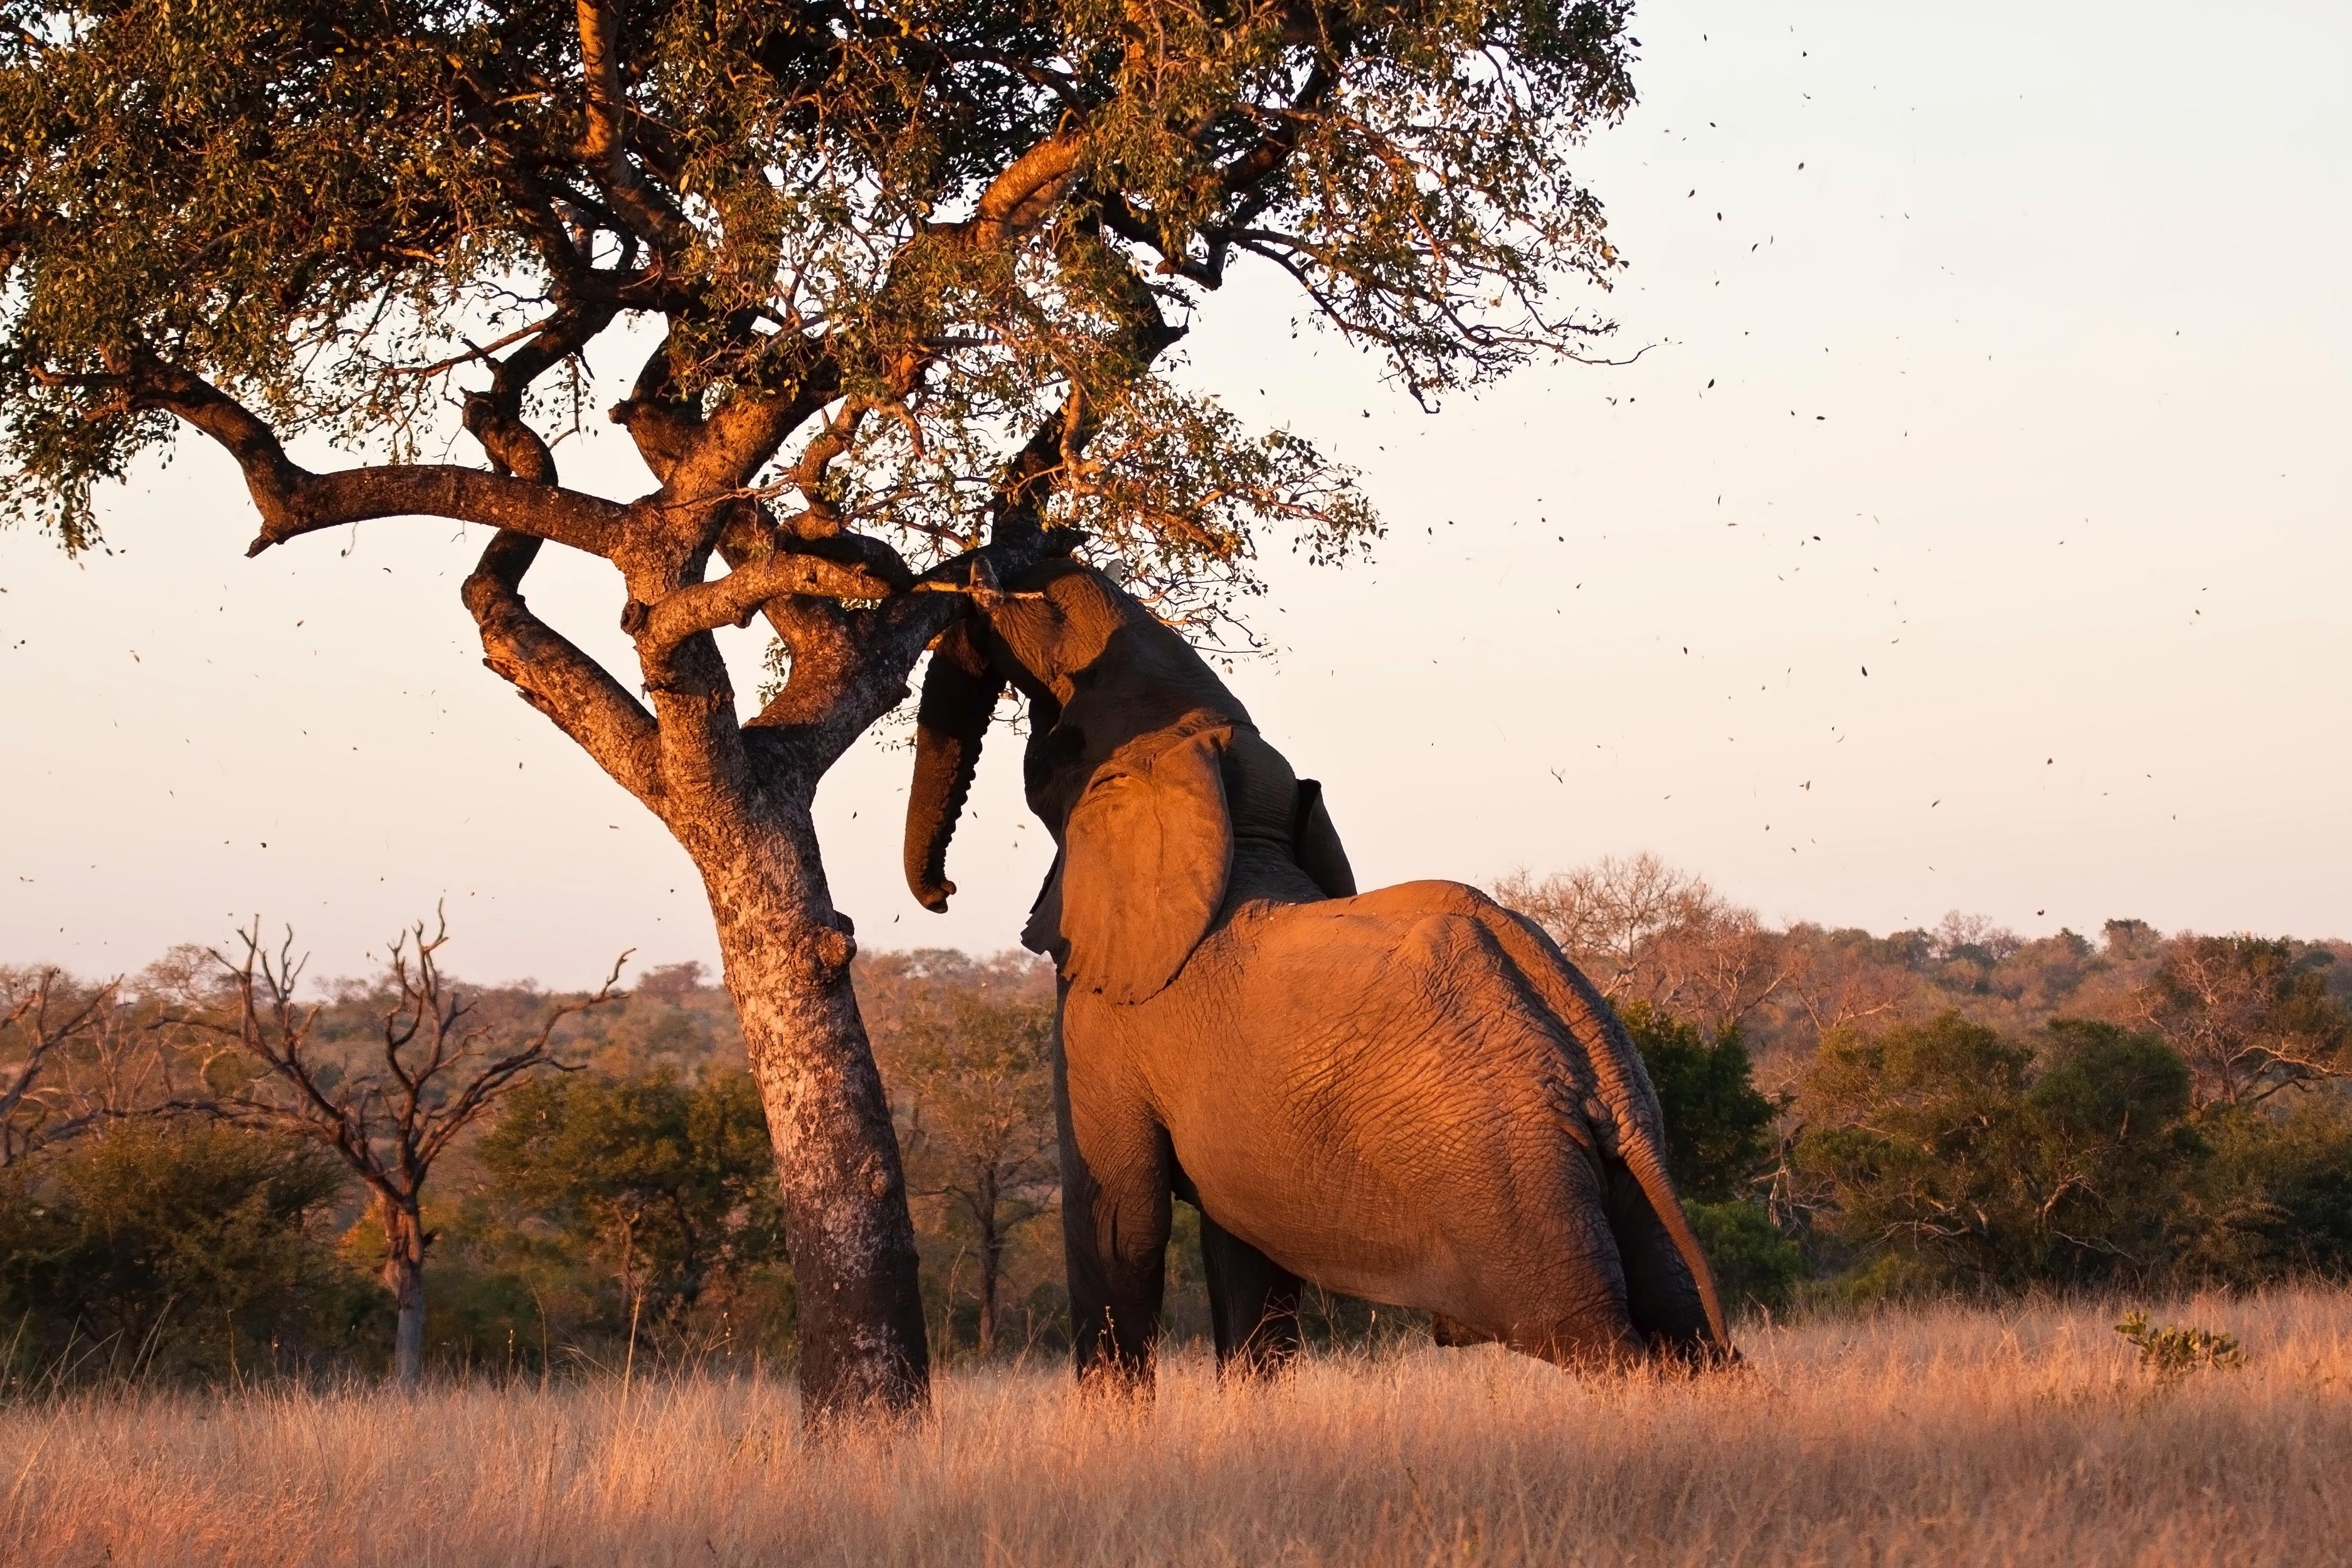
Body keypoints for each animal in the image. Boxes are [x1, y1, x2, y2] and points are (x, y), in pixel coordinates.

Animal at [898, 557, 1731, 1382]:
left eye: (1054, 748)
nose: (943, 895)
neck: (1224, 802)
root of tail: (1604, 1078)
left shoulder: (1108, 1017)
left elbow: (1117, 1223)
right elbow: (1243, 1258)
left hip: (1507, 1178)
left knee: (1593, 1335)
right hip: (1607, 1178)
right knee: (1683, 1325)